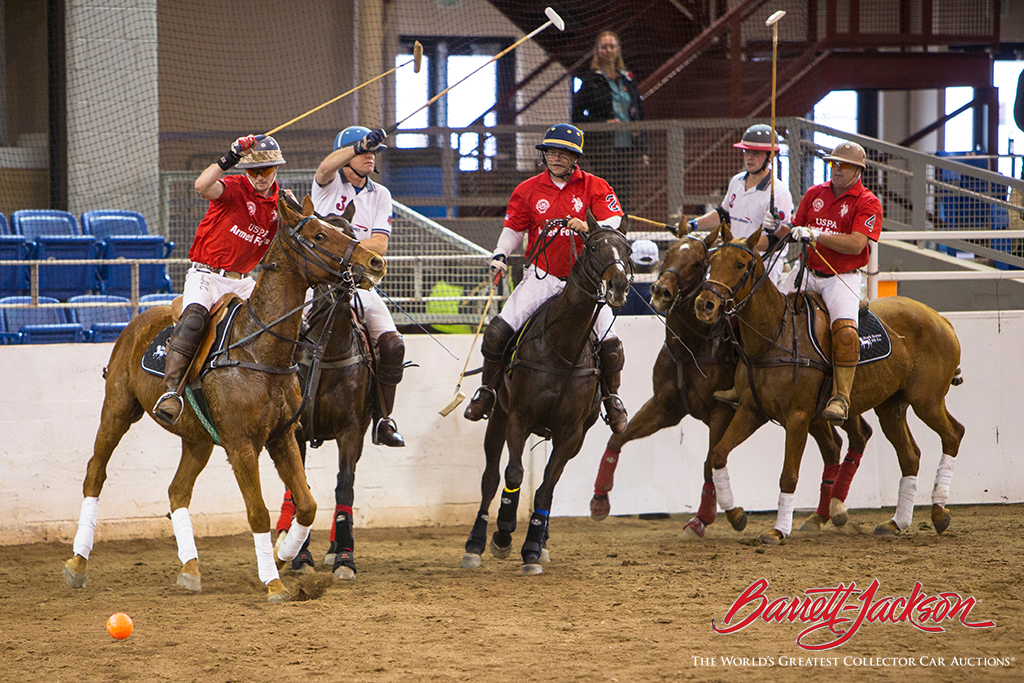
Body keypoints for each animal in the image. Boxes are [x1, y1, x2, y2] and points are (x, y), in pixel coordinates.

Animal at [61, 194, 385, 602]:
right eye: (319, 234)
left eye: (350, 232)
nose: (376, 263)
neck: (261, 350)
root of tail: (137, 321)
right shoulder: (241, 444)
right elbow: (258, 511)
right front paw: (274, 582)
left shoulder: (282, 436)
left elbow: (308, 504)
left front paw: (283, 554)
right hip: (118, 409)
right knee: (95, 474)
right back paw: (77, 564)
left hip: (197, 438)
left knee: (178, 491)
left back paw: (191, 568)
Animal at [462, 214, 630, 577]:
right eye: (593, 247)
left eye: (626, 249)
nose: (619, 285)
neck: (563, 350)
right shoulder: (519, 418)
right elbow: (513, 474)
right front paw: (504, 533)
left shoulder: (571, 433)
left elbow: (547, 487)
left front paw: (531, 549)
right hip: (497, 417)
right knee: (490, 478)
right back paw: (475, 545)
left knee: (613, 347)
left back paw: (542, 543)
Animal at [589, 229, 868, 540]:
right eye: (670, 252)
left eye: (698, 262)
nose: (660, 291)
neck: (693, 347)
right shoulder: (665, 407)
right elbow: (619, 437)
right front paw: (600, 499)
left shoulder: (720, 413)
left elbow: (709, 462)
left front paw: (706, 519)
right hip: (813, 415)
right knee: (834, 446)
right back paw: (823, 514)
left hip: (834, 406)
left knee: (857, 435)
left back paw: (837, 507)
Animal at [692, 227, 962, 540]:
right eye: (711, 261)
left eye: (740, 264)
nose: (705, 305)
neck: (774, 337)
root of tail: (941, 319)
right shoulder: (751, 410)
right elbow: (718, 455)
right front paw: (736, 515)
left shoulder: (797, 418)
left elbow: (788, 476)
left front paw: (778, 531)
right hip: (891, 406)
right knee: (910, 455)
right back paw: (896, 523)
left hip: (926, 400)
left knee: (953, 434)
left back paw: (939, 512)